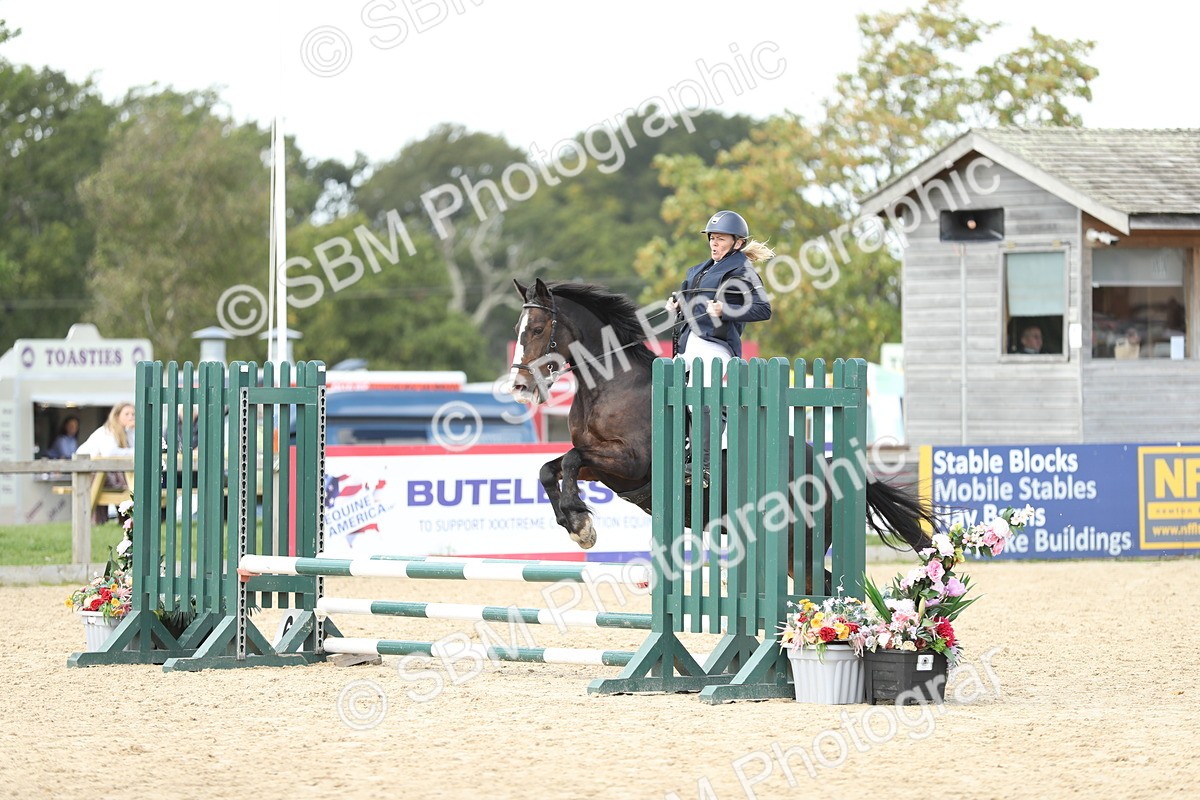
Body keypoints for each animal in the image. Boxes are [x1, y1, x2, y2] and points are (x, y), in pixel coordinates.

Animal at [507, 277, 935, 562]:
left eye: (539, 329)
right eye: (518, 330)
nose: (519, 386)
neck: (609, 384)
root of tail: (829, 465)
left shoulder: (630, 463)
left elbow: (570, 459)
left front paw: (581, 522)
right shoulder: (604, 468)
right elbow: (550, 468)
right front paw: (574, 523)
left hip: (800, 544)